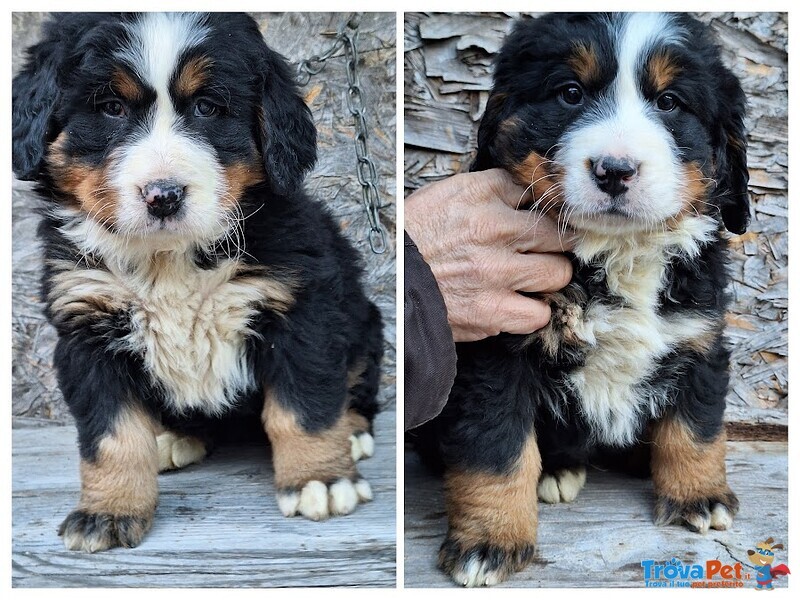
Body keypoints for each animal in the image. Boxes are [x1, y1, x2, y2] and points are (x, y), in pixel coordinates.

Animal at [11, 10, 382, 552]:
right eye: (111, 108)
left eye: (208, 108)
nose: (163, 195)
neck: (168, 258)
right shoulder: (86, 326)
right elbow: (112, 435)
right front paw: (108, 510)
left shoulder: (300, 309)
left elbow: (303, 407)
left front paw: (320, 479)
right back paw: (172, 438)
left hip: (362, 320)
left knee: (354, 386)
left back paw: (352, 434)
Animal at [412, 12, 752, 584]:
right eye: (570, 93)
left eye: (669, 102)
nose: (614, 170)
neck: (616, 252)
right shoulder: (497, 352)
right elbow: (496, 450)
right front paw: (489, 540)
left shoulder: (700, 337)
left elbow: (696, 425)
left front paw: (699, 496)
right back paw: (557, 472)